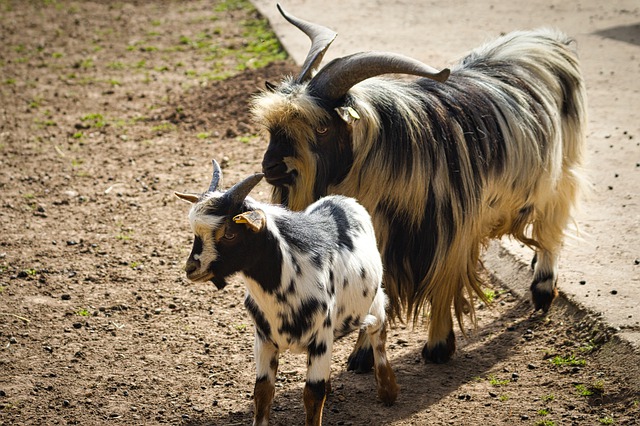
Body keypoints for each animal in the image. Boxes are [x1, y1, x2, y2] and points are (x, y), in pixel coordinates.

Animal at [252, 4, 588, 370]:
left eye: (322, 128)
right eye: (272, 128)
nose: (269, 167)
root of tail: (544, 39)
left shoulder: (452, 232)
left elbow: (443, 285)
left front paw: (438, 346)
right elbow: (377, 290)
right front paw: (363, 355)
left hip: (560, 171)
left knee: (552, 223)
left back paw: (542, 288)